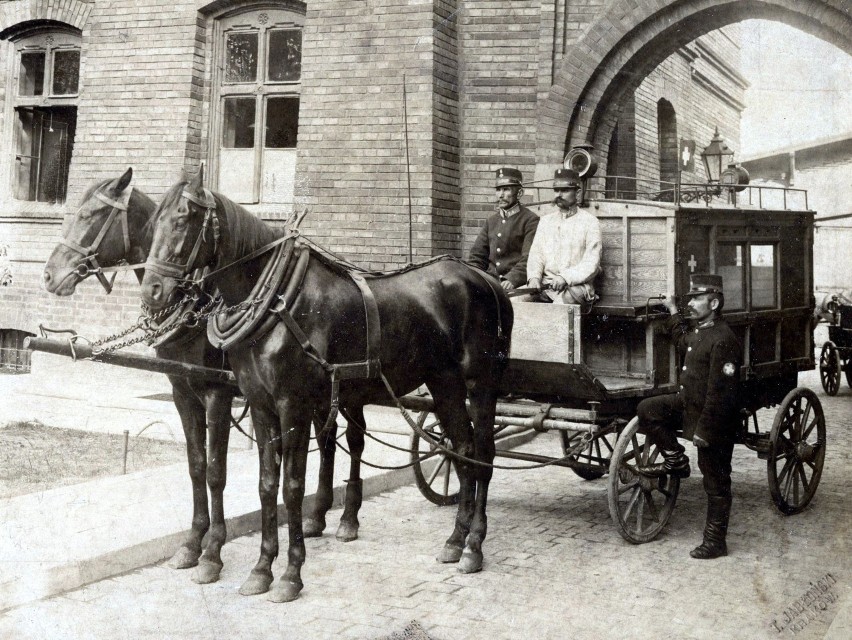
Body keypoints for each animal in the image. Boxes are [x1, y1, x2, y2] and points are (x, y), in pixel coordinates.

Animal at [140, 168, 512, 604]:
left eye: (183, 219)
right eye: (153, 224)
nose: (152, 291)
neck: (278, 300)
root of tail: (485, 280)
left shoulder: (292, 405)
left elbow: (292, 487)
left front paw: (289, 574)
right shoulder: (260, 404)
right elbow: (267, 485)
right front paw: (261, 569)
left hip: (478, 384)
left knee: (482, 454)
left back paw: (474, 546)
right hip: (443, 383)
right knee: (462, 449)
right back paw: (455, 540)